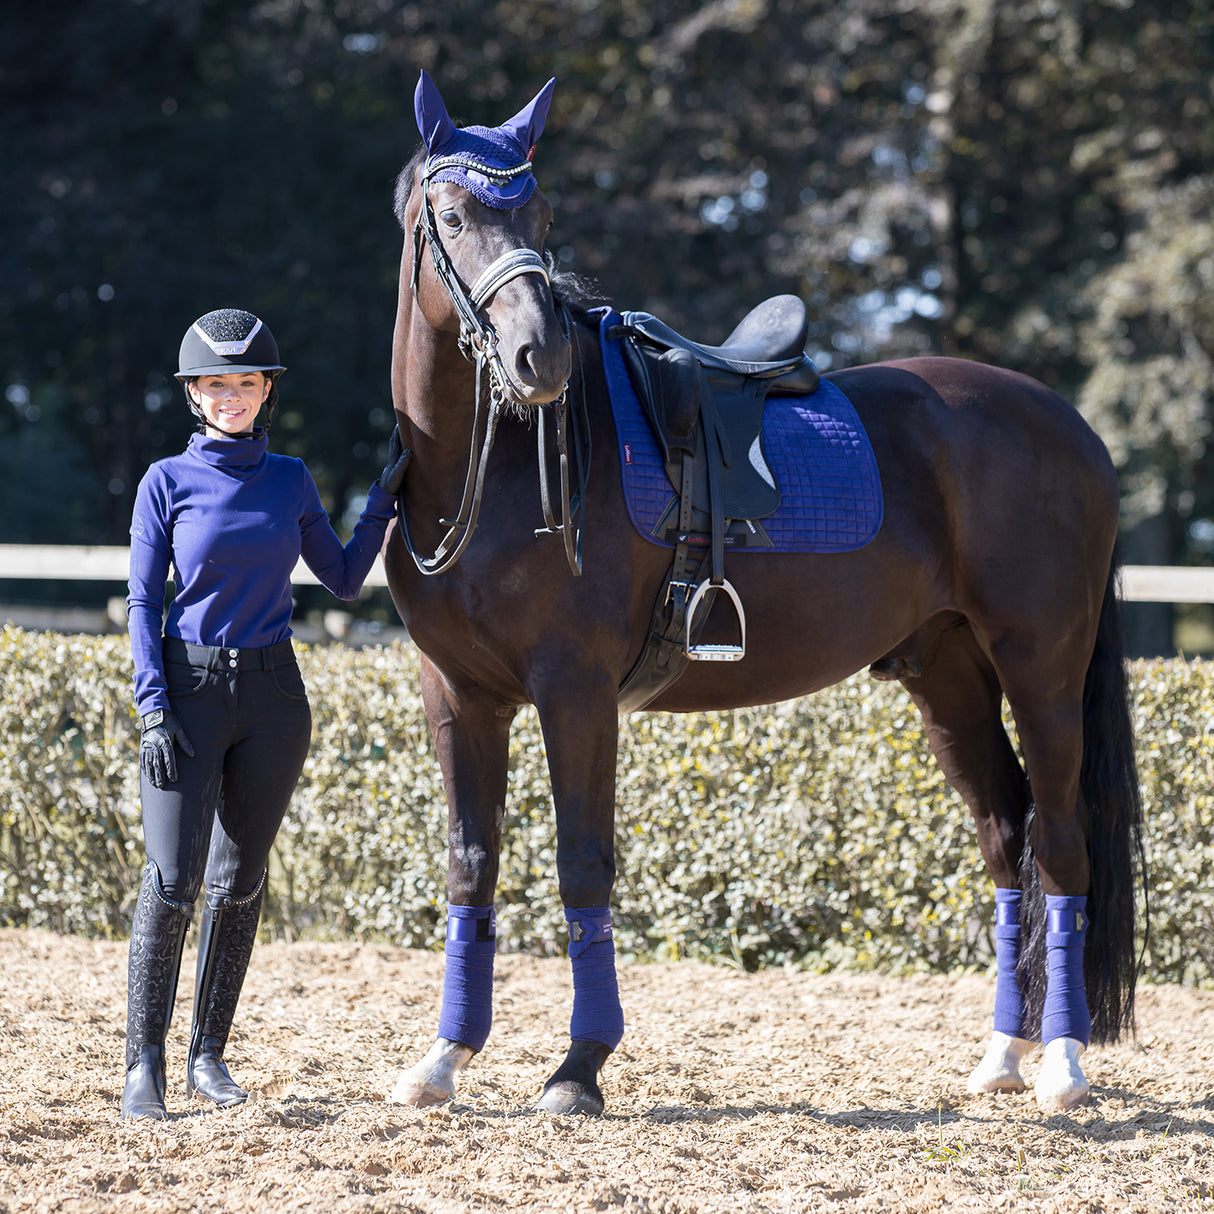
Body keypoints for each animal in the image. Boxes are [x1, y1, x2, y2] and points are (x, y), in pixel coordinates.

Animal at [386, 73, 1136, 1116]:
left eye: (541, 216)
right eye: (453, 216)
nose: (541, 359)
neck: (483, 472)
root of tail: (1070, 426)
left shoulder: (574, 693)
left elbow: (583, 865)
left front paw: (580, 1067)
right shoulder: (458, 695)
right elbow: (470, 863)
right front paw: (446, 1057)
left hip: (1043, 669)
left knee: (1062, 843)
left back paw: (1061, 1065)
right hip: (949, 677)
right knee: (1006, 835)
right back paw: (1001, 1054)